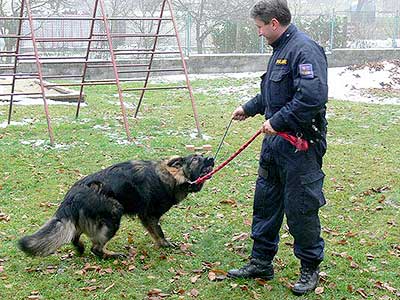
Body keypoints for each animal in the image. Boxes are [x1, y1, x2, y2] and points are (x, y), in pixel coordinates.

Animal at [18, 155, 214, 258]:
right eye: (197, 159)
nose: (211, 158)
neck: (172, 176)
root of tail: (72, 195)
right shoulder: (150, 216)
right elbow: (159, 232)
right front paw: (165, 245)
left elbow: (154, 233)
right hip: (114, 213)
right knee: (96, 248)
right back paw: (111, 255)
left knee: (75, 236)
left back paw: (80, 248)